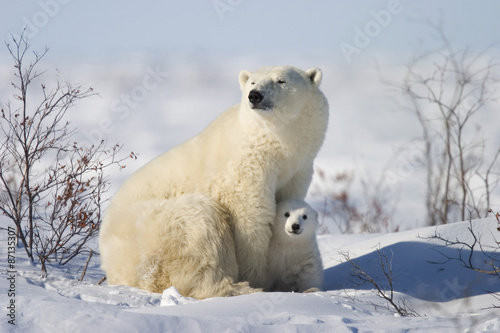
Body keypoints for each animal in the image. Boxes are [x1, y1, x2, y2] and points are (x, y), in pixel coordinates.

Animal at [99, 65, 330, 298]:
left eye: (281, 80)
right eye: (253, 82)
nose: (255, 96)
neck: (275, 147)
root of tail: (111, 267)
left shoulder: (298, 169)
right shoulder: (245, 167)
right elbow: (251, 218)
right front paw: (258, 279)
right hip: (154, 231)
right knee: (202, 225)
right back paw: (238, 288)